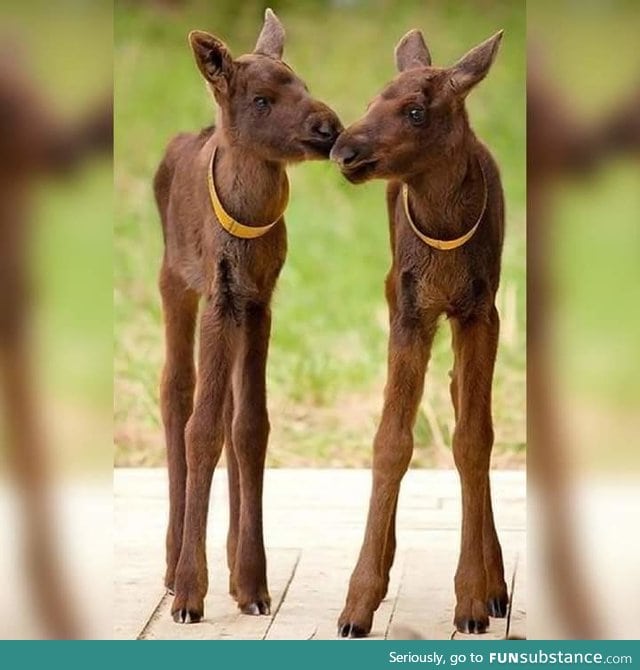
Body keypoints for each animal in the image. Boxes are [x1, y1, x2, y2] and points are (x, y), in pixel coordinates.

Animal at [155, 9, 342, 624]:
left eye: (302, 83)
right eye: (261, 99)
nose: (330, 127)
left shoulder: (259, 302)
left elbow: (251, 427)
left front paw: (255, 583)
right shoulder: (219, 297)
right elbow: (202, 428)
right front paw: (190, 593)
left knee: (233, 413)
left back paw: (236, 574)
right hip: (173, 283)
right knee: (175, 392)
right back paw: (171, 567)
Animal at [332, 28, 508, 636]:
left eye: (415, 111)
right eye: (370, 100)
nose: (343, 149)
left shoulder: (481, 312)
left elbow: (473, 439)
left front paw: (473, 597)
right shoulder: (409, 311)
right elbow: (390, 441)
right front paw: (358, 600)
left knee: (461, 400)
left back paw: (496, 584)